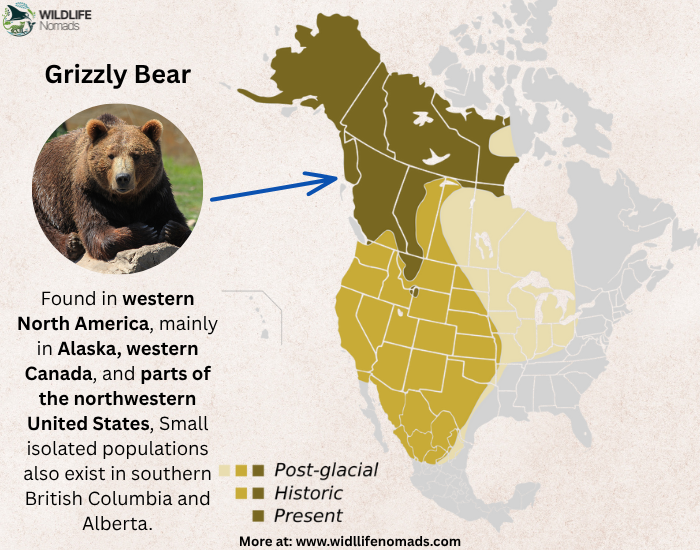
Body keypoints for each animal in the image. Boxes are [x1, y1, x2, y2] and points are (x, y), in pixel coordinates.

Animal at [32, 113, 191, 262]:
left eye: (136, 155)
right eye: (110, 155)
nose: (122, 178)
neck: (125, 199)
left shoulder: (155, 192)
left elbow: (174, 217)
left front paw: (170, 229)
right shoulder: (89, 192)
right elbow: (96, 231)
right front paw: (144, 231)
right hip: (44, 194)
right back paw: (72, 243)